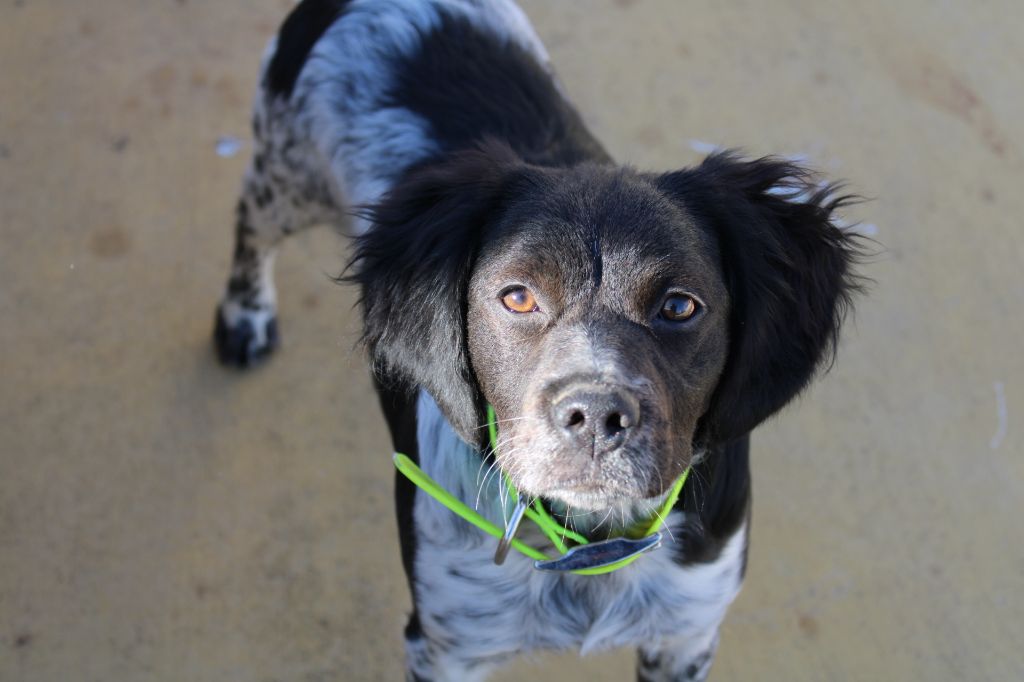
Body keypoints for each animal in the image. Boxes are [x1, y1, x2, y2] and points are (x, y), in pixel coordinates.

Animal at [211, 2, 860, 675]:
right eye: (517, 296)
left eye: (680, 305)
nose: (596, 416)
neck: (590, 543)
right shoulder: (447, 646)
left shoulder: (686, 632)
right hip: (287, 174)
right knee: (249, 219)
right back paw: (245, 316)